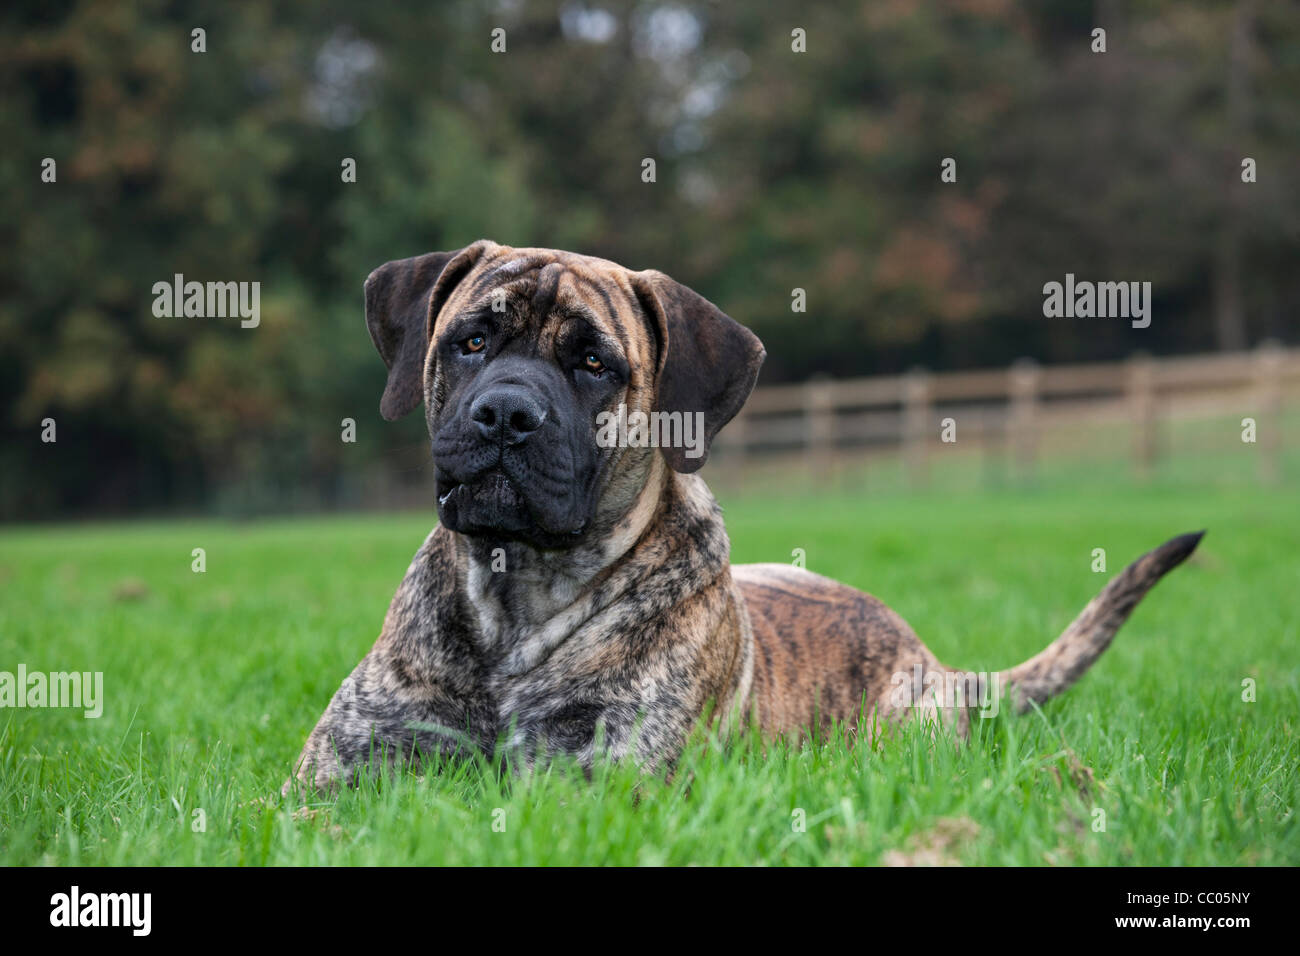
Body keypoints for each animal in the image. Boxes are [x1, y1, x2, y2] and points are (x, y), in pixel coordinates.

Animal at [289, 240, 1201, 790]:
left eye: (594, 363)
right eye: (472, 340)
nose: (507, 414)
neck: (518, 596)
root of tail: (936, 664)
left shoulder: (605, 775)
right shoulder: (334, 778)